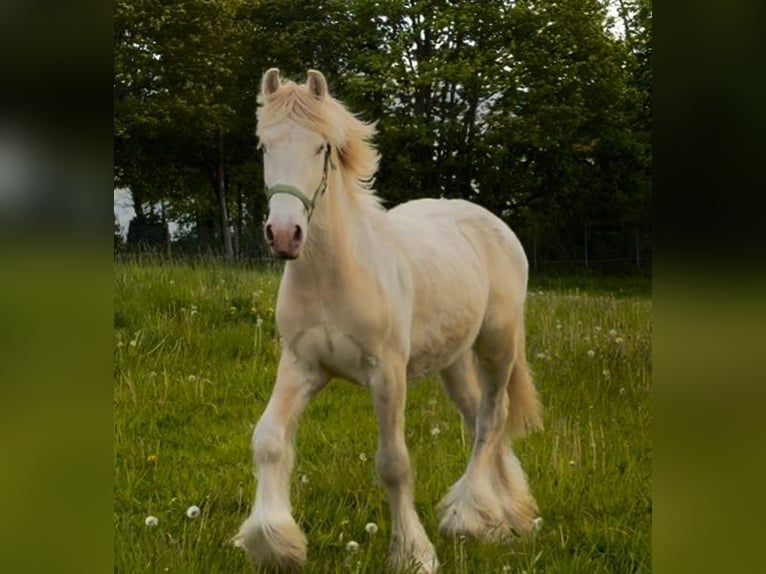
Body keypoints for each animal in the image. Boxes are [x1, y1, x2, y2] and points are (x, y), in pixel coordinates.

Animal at [235, 68, 542, 573]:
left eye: (321, 147)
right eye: (264, 144)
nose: (283, 235)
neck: (336, 276)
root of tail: (491, 222)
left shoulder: (387, 375)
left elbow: (394, 463)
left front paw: (414, 552)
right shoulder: (301, 366)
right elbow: (269, 440)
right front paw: (273, 541)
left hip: (497, 344)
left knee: (492, 419)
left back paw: (469, 515)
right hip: (454, 361)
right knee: (479, 416)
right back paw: (505, 515)